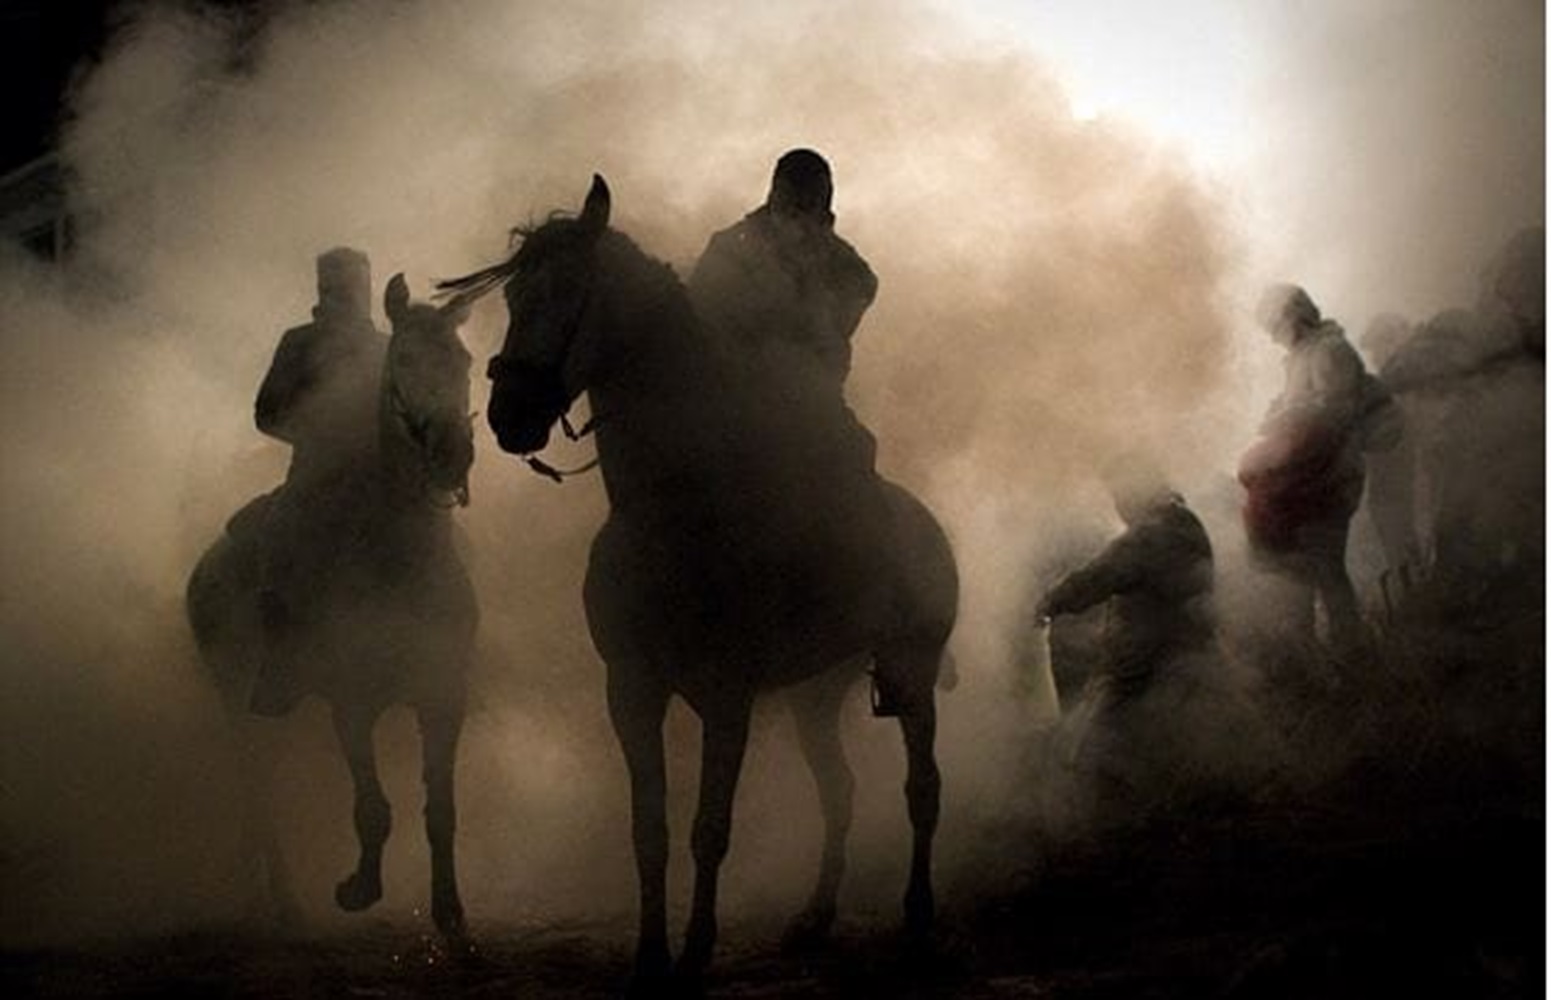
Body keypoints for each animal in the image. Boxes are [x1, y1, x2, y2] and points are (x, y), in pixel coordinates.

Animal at [182, 271, 474, 936]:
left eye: (465, 361)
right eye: (404, 359)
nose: (452, 452)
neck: (399, 561)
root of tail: (204, 569)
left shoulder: (443, 697)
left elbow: (440, 809)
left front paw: (450, 911)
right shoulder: (352, 704)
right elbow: (373, 808)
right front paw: (358, 888)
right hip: (235, 696)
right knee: (258, 788)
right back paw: (283, 903)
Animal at [443, 175, 955, 979]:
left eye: (573, 292)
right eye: (517, 296)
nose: (509, 415)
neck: (674, 514)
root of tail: (924, 524)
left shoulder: (725, 696)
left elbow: (708, 829)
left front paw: (694, 956)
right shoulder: (631, 689)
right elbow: (647, 830)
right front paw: (652, 957)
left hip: (912, 668)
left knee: (921, 788)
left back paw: (918, 915)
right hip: (816, 694)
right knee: (839, 791)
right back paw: (813, 917)